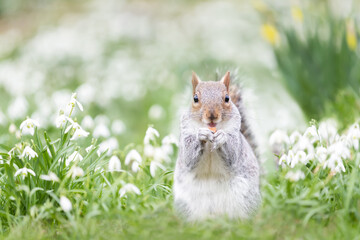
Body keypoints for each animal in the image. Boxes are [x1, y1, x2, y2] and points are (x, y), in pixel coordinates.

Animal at [173, 70, 260, 220]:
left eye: (227, 98)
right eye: (195, 98)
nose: (212, 115)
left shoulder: (235, 137)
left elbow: (233, 156)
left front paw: (222, 138)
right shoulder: (186, 134)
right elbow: (189, 158)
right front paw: (201, 135)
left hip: (246, 199)